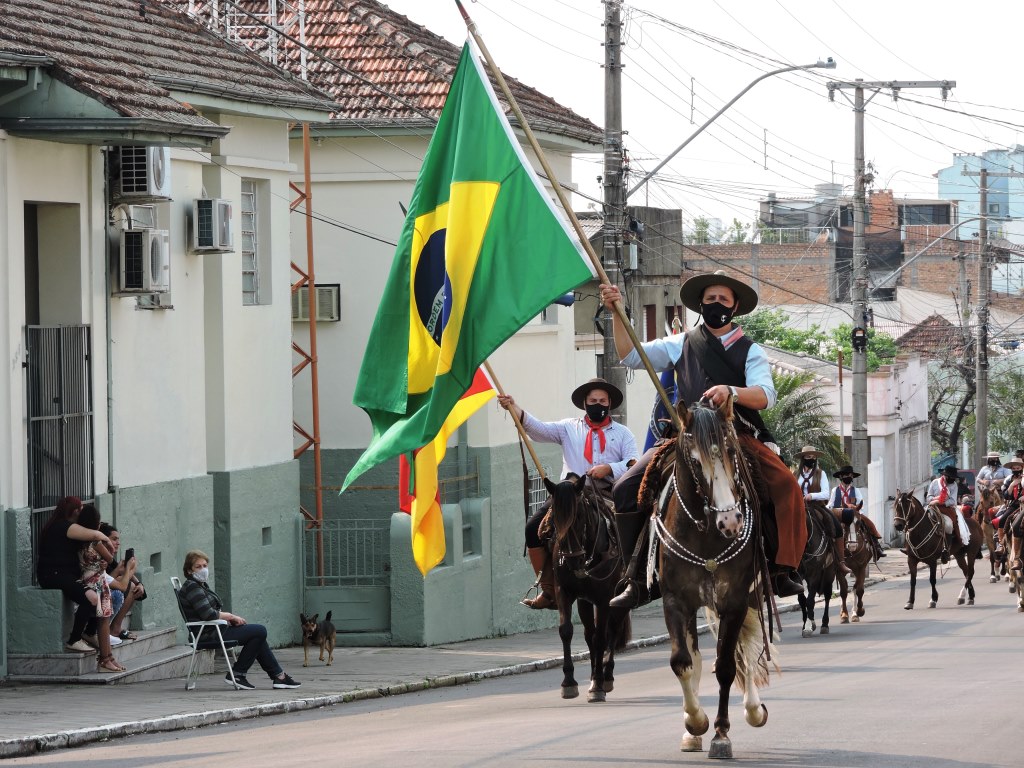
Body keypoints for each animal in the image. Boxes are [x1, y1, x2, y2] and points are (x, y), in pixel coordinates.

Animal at [548, 475, 626, 704]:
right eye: (554, 516)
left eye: (579, 515)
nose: (572, 561)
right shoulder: (564, 592)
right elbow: (566, 631)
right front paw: (569, 683)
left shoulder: (604, 599)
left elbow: (601, 638)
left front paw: (598, 685)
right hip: (584, 601)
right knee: (589, 634)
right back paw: (593, 678)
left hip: (619, 598)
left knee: (612, 632)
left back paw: (606, 677)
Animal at [651, 399, 770, 761]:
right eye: (693, 459)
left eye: (731, 451)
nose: (730, 522)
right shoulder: (676, 601)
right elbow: (682, 662)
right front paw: (695, 723)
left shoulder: (734, 601)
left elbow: (727, 666)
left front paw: (720, 733)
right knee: (699, 656)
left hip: (751, 597)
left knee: (746, 650)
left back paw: (753, 710)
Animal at [798, 501, 839, 638]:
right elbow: (802, 600)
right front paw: (805, 624)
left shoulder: (815, 573)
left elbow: (810, 601)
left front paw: (810, 626)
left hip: (829, 573)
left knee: (827, 595)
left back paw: (825, 624)